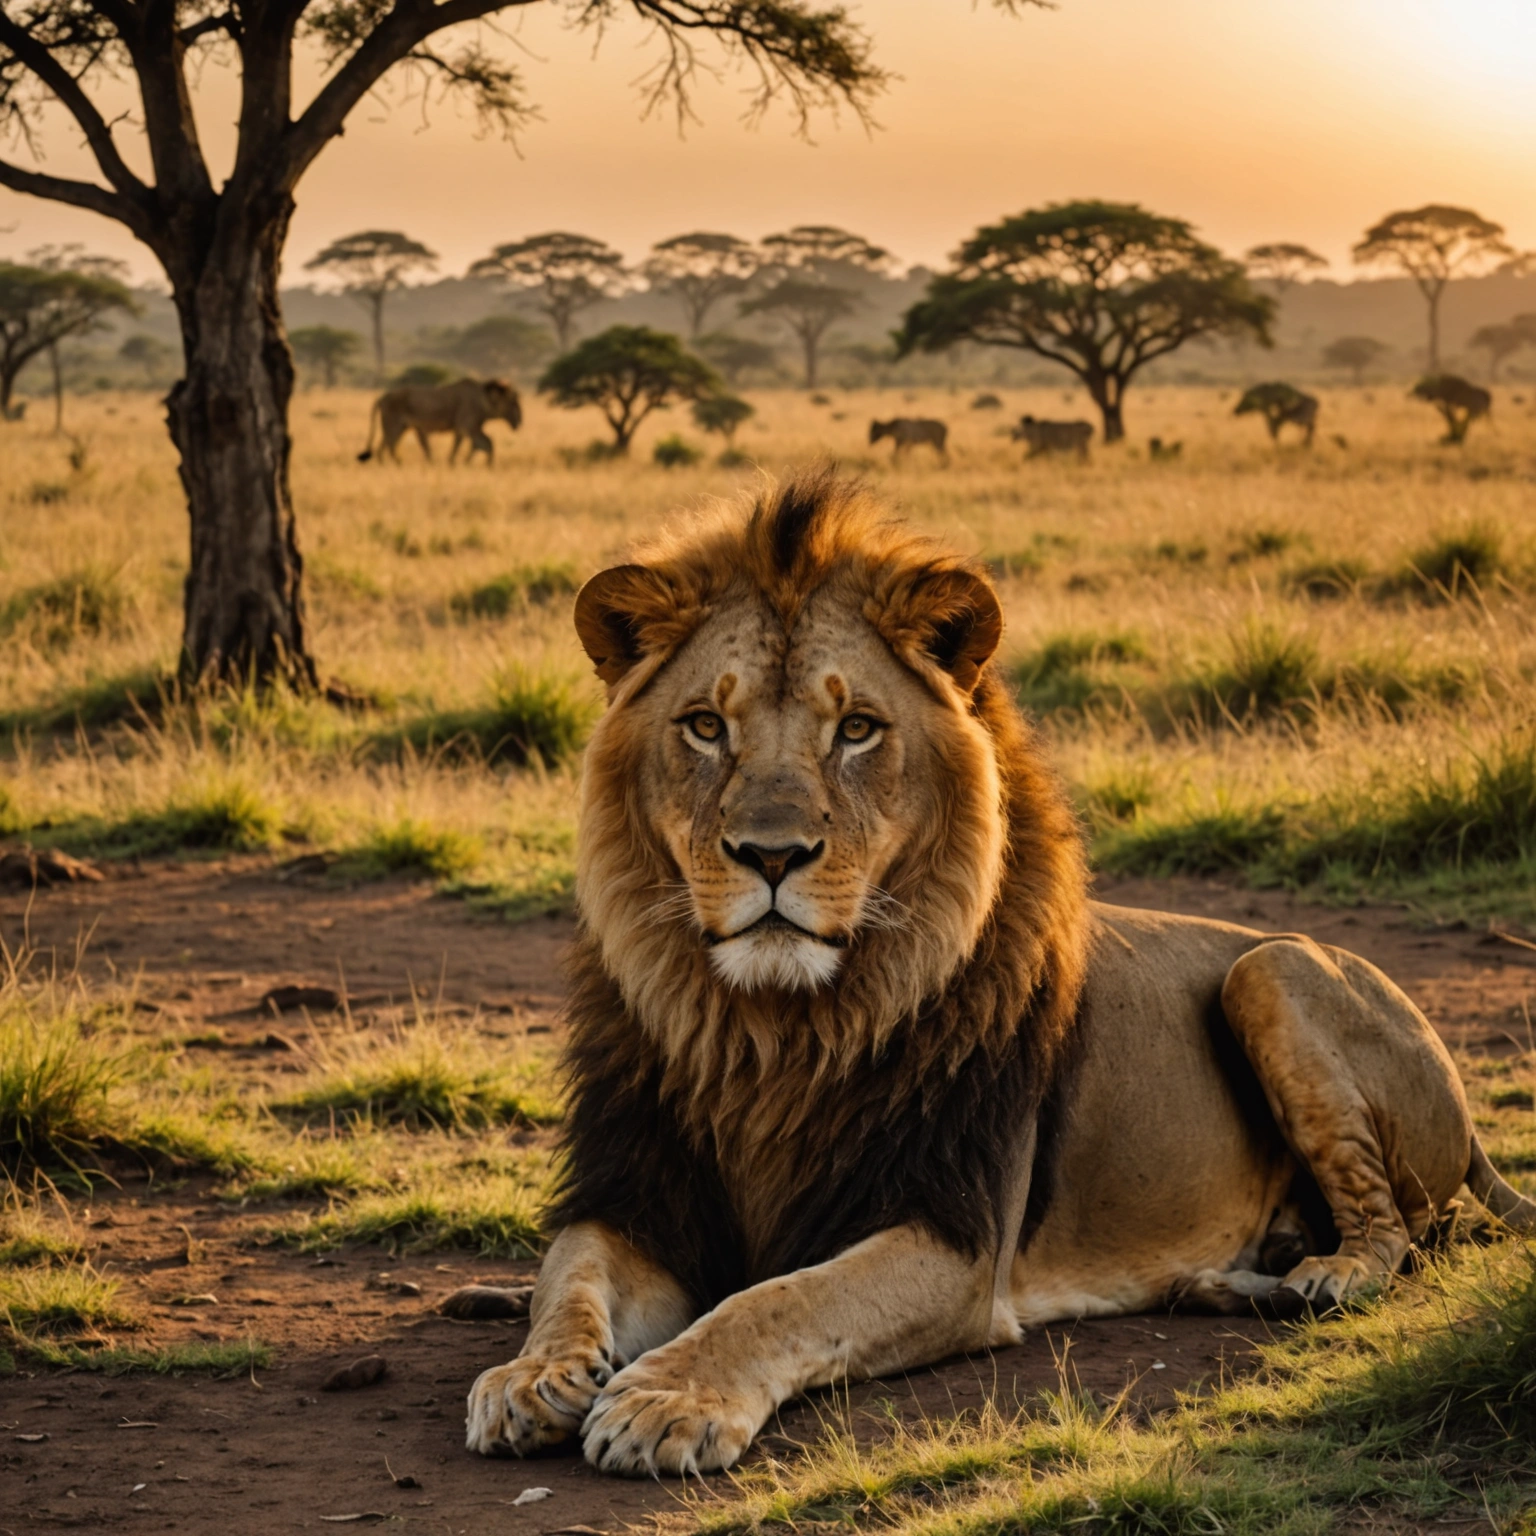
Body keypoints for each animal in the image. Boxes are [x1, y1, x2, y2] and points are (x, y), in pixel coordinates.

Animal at [357, 376, 522, 463]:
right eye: (513, 402)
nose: (520, 421)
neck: (483, 399)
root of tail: (382, 397)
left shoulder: (461, 430)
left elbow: (460, 446)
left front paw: (454, 463)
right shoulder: (468, 426)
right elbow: (486, 443)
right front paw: (484, 465)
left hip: (398, 427)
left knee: (383, 446)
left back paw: (387, 464)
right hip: (394, 426)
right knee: (390, 446)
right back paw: (399, 464)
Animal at [454, 466, 1536, 1474]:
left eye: (856, 729)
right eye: (705, 727)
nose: (771, 855)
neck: (777, 1030)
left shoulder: (956, 1239)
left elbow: (779, 1301)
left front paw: (665, 1398)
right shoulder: (637, 1198)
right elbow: (569, 1278)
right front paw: (529, 1376)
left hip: (1274, 969)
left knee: (1395, 1233)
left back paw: (1322, 1276)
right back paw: (1228, 1279)